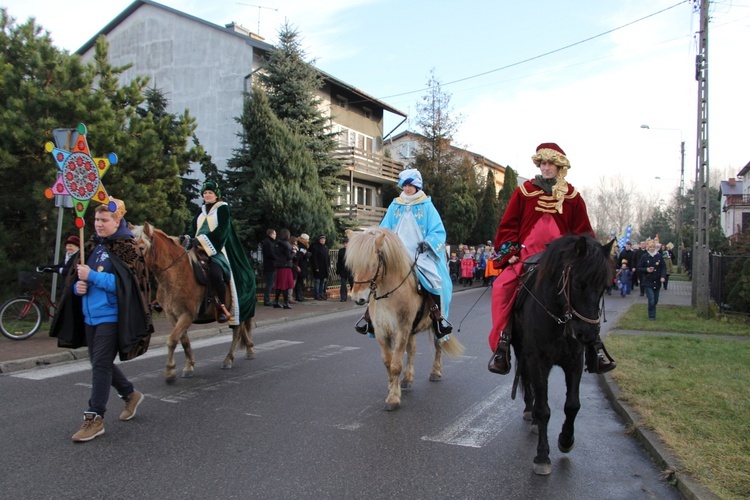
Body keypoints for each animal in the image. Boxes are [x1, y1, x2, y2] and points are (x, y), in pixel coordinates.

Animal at [132, 223, 256, 382]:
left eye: (141, 247)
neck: (176, 273)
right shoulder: (173, 315)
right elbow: (184, 341)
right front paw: (188, 366)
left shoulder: (187, 315)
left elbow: (172, 340)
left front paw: (170, 371)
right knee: (241, 330)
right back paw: (249, 349)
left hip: (237, 308)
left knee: (237, 332)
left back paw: (228, 359)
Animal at [346, 227, 464, 410]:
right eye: (352, 265)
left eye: (372, 264)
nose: (358, 298)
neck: (388, 295)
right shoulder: (382, 333)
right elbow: (388, 363)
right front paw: (391, 388)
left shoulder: (401, 330)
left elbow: (395, 365)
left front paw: (393, 399)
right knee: (412, 350)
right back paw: (408, 378)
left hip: (434, 325)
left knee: (438, 345)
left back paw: (436, 372)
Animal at [512, 236, 616, 474]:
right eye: (578, 283)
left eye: (604, 287)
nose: (588, 334)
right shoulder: (537, 359)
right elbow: (543, 408)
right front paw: (542, 456)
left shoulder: (575, 361)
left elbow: (572, 405)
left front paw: (566, 440)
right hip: (521, 351)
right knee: (528, 381)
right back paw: (530, 410)